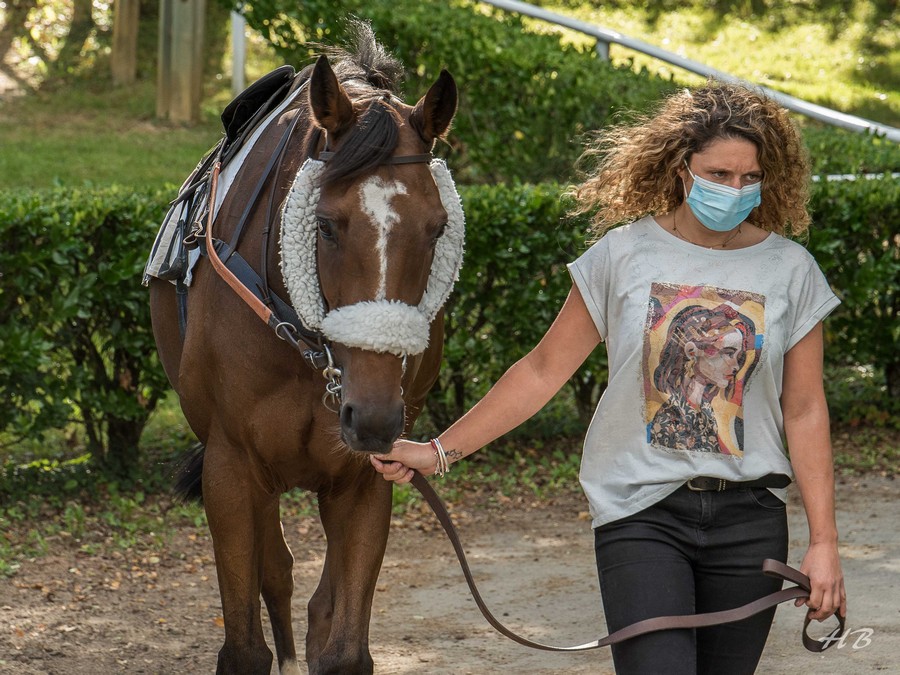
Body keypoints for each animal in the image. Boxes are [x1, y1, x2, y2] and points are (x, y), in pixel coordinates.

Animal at [148, 25, 459, 675]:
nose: (373, 417)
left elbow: (342, 646)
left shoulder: (366, 475)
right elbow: (247, 640)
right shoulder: (231, 466)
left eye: (439, 227)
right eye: (325, 225)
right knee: (278, 573)